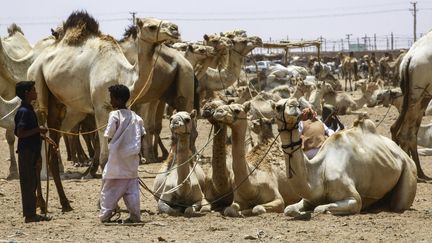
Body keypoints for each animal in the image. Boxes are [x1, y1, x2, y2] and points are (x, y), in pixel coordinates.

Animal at [274, 98, 418, 217]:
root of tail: (402, 152)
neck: (320, 170)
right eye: (277, 107)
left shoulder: (354, 198)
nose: (293, 105)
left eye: (298, 105)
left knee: (399, 204)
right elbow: (288, 209)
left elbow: (319, 208)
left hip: (409, 169)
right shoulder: (308, 198)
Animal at [390, 30, 432, 180]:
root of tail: (409, 58)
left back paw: (420, 173)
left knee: (405, 131)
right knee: (403, 131)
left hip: (421, 94)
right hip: (418, 92)